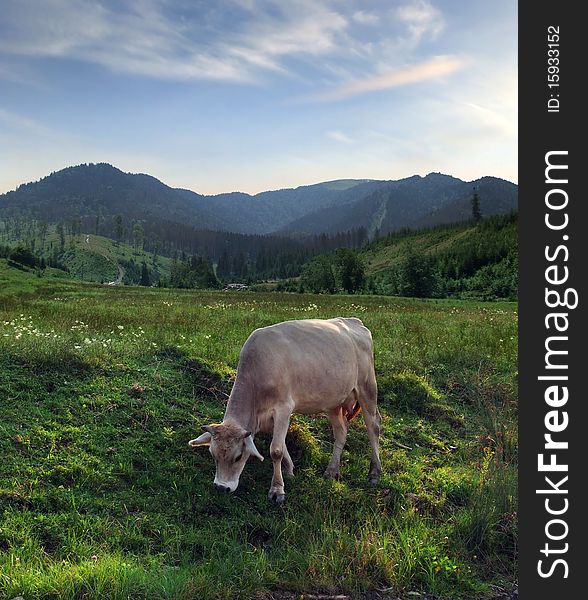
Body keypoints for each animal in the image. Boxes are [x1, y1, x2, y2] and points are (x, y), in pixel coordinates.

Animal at [188, 316, 382, 504]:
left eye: (238, 456)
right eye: (213, 455)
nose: (221, 487)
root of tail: (354, 321)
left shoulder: (283, 408)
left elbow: (276, 450)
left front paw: (277, 490)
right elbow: (282, 444)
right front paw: (289, 469)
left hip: (367, 388)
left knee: (374, 426)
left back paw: (374, 472)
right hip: (333, 401)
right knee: (341, 432)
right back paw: (331, 471)